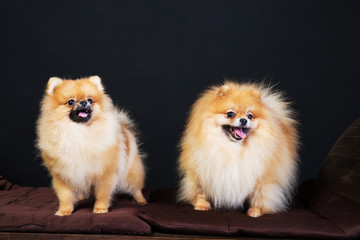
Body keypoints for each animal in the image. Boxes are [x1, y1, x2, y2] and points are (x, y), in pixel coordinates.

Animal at [37, 76, 148, 216]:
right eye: (71, 101)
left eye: (90, 100)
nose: (84, 102)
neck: (78, 131)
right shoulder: (63, 175)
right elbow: (65, 197)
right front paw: (64, 211)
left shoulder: (105, 173)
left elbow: (102, 194)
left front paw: (100, 209)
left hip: (131, 173)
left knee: (136, 188)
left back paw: (141, 201)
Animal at [176, 81, 298, 218]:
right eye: (230, 114)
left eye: (250, 116)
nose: (244, 120)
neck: (232, 147)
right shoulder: (200, 171)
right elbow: (200, 191)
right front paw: (201, 205)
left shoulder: (262, 178)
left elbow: (259, 196)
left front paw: (255, 211)